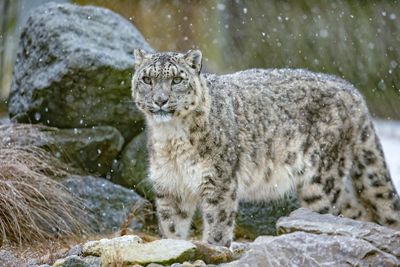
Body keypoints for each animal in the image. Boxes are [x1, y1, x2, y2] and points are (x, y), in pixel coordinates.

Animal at [131, 49, 400, 247]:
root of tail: (354, 92)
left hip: (321, 179)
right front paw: (172, 245)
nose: (160, 100)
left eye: (177, 79)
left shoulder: (219, 181)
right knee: (358, 213)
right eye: (147, 79)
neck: (171, 139)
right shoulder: (169, 185)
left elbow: (218, 223)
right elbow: (172, 226)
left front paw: (214, 247)